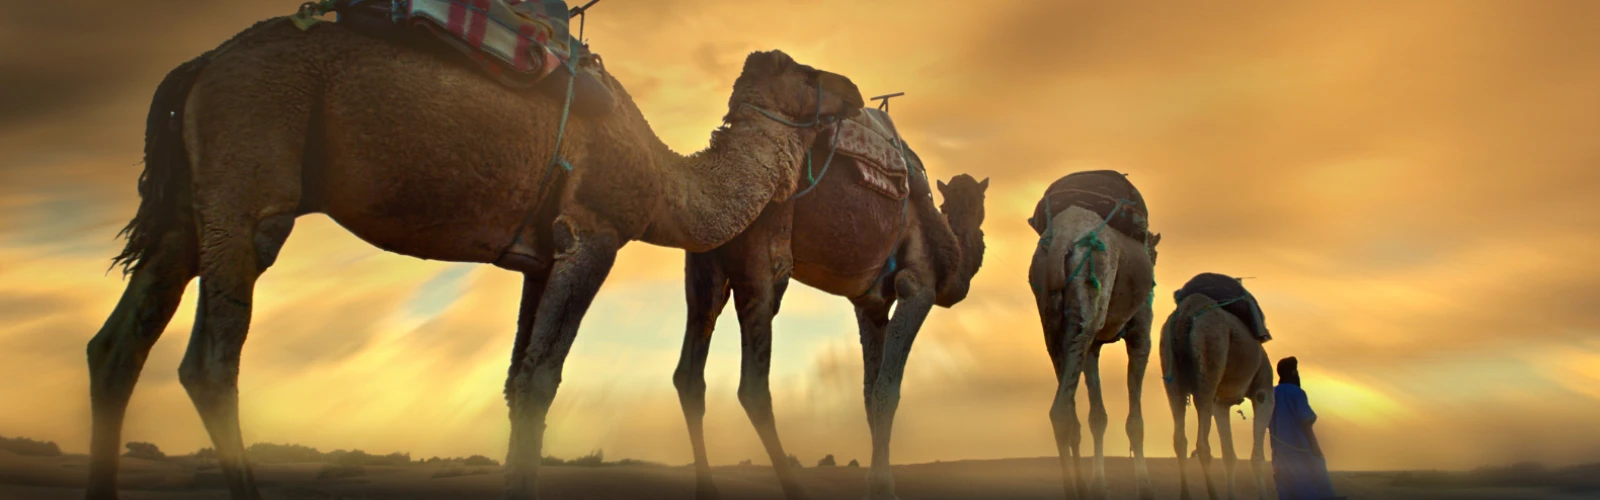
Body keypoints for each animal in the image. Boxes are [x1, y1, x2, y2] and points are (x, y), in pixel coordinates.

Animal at [84, 17, 864, 500]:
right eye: (805, 71)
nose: (856, 89)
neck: (667, 180)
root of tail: (200, 65)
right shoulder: (596, 232)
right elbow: (542, 382)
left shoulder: (541, 257)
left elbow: (517, 382)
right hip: (251, 165)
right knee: (210, 359)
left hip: (190, 208)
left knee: (116, 345)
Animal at [672, 127, 987, 500]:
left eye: (978, 204)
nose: (978, 226)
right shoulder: (918, 286)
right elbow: (887, 390)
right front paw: (883, 488)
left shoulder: (871, 306)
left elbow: (869, 392)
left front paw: (875, 485)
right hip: (761, 257)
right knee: (752, 386)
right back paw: (795, 489)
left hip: (706, 263)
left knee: (690, 373)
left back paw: (707, 489)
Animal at [1027, 171, 1161, 500]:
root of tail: (1062, 238)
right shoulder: (1141, 332)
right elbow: (1135, 421)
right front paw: (1145, 487)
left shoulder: (1095, 347)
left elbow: (1097, 417)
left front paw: (1099, 486)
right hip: (1091, 292)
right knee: (1061, 411)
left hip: (1051, 316)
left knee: (1068, 412)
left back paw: (1078, 489)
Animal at [1161, 274, 1275, 500]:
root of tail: (1185, 313)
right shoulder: (1263, 391)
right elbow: (1257, 457)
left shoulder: (1221, 403)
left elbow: (1229, 456)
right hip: (1210, 353)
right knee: (1203, 444)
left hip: (1170, 368)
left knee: (1180, 439)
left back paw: (1186, 495)